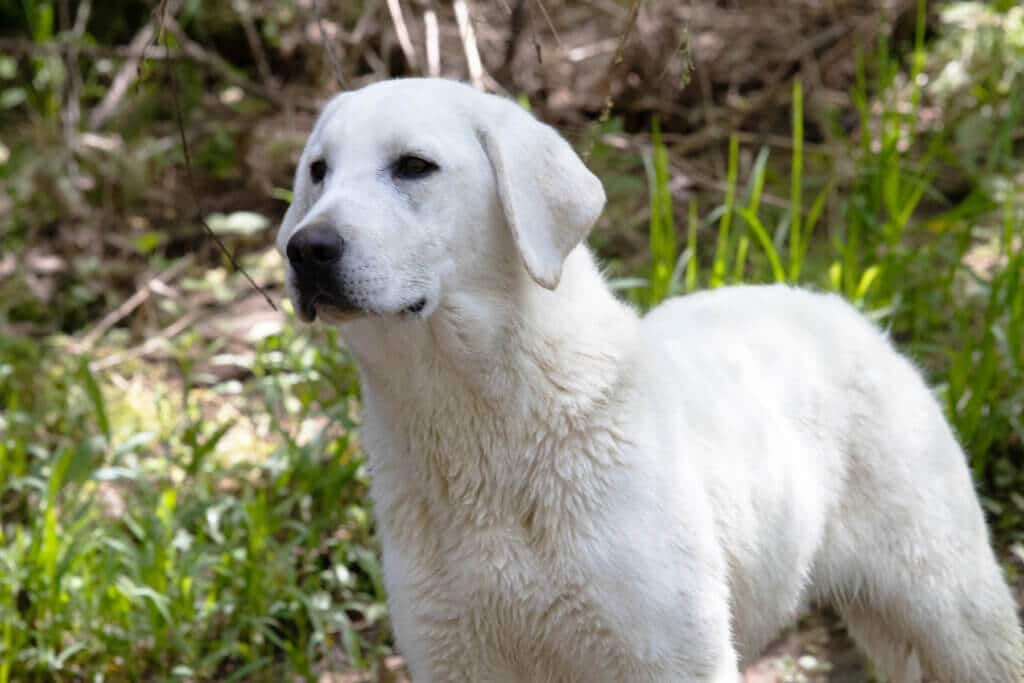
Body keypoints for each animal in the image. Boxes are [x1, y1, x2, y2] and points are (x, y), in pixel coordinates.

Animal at [276, 80, 1019, 683]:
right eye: (318, 171)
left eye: (413, 166)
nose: (305, 250)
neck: (484, 423)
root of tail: (842, 307)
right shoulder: (454, 654)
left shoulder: (671, 654)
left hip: (954, 607)